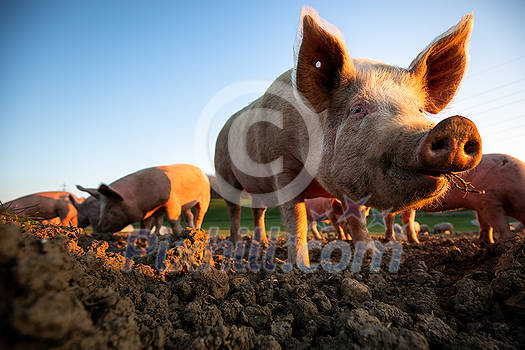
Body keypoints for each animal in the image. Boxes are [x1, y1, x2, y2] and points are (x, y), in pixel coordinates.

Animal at [74, 163, 210, 235]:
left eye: (109, 207)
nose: (96, 231)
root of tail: (202, 172)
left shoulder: (172, 202)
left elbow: (173, 220)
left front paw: (178, 234)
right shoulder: (150, 212)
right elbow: (146, 226)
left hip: (205, 198)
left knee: (199, 215)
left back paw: (197, 230)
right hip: (186, 206)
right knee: (189, 215)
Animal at [212, 6, 478, 266]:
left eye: (420, 110)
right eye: (358, 109)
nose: (458, 126)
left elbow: (356, 216)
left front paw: (372, 255)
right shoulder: (282, 163)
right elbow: (296, 216)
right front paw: (301, 267)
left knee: (258, 210)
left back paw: (263, 243)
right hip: (224, 172)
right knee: (234, 208)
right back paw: (236, 246)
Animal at [384, 154, 524, 245]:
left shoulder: (480, 204)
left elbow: (485, 224)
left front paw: (488, 242)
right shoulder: (488, 200)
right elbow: (501, 223)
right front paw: (510, 242)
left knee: (404, 217)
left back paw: (414, 242)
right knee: (389, 217)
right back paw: (391, 240)